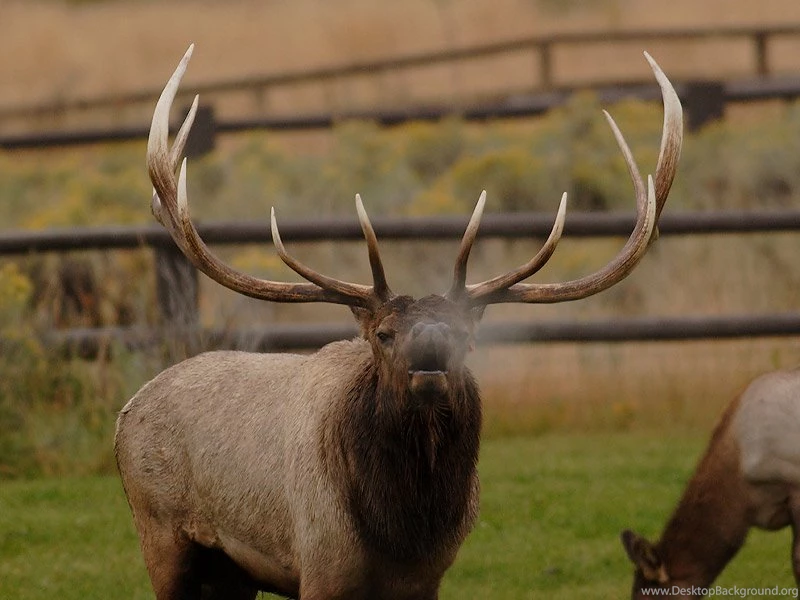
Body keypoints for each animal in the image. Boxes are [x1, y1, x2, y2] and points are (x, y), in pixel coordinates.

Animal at [115, 44, 682, 600]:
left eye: (464, 336)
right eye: (382, 334)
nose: (429, 349)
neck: (402, 533)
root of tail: (124, 414)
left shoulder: (428, 578)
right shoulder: (320, 568)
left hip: (230, 573)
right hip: (161, 533)